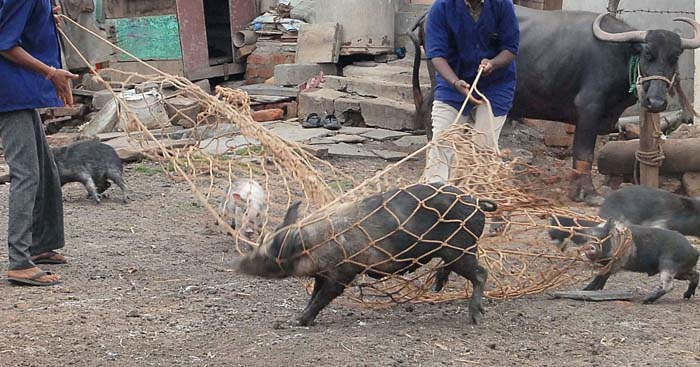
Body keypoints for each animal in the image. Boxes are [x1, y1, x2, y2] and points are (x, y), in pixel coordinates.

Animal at [232, 185, 494, 326]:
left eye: (271, 256)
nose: (237, 263)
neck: (315, 242)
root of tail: (476, 201)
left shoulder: (342, 273)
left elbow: (323, 297)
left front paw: (300, 321)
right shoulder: (323, 274)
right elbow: (314, 294)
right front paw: (299, 318)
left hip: (460, 248)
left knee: (481, 272)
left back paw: (475, 317)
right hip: (454, 251)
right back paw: (437, 287)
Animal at [410, 5, 700, 206]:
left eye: (675, 57)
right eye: (648, 54)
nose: (656, 101)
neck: (621, 54)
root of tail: (426, 15)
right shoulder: (589, 109)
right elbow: (584, 153)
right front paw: (586, 193)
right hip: (444, 82)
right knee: (431, 113)